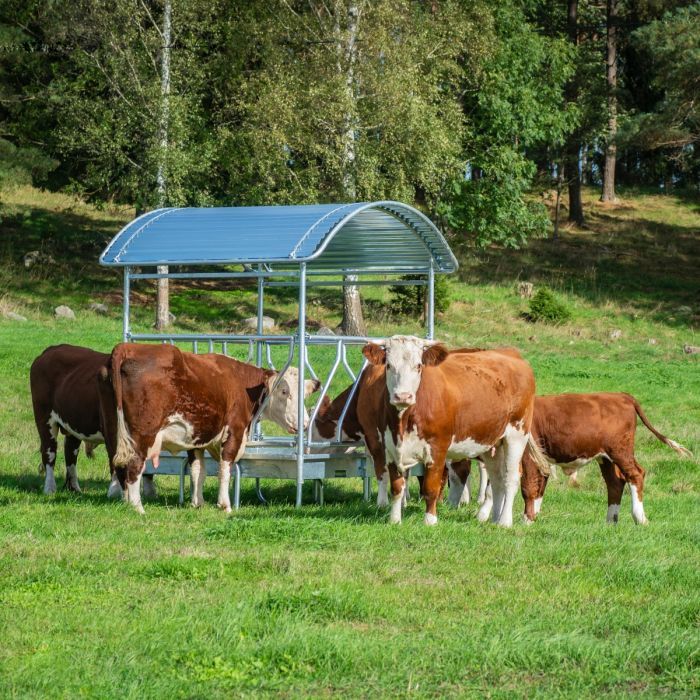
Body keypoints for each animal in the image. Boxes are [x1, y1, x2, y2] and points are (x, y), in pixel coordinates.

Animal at [99, 344, 320, 516]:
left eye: (304, 394)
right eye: (284, 391)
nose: (305, 423)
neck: (241, 384)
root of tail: (128, 347)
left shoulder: (196, 437)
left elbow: (199, 471)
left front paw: (198, 503)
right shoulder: (234, 431)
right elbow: (225, 469)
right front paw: (225, 505)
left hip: (113, 434)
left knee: (119, 467)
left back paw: (126, 503)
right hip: (143, 435)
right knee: (134, 467)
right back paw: (138, 507)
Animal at [360, 336, 552, 528]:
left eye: (418, 366)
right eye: (389, 365)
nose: (403, 396)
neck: (404, 421)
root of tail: (512, 354)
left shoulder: (438, 448)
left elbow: (431, 487)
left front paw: (430, 520)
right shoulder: (391, 448)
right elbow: (397, 487)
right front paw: (394, 520)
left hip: (516, 435)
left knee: (510, 477)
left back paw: (505, 521)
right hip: (492, 442)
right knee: (496, 479)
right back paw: (494, 519)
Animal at [516, 394, 692, 524]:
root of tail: (621, 395)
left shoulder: (528, 455)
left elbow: (528, 486)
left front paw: (526, 522)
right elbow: (539, 486)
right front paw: (533, 518)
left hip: (620, 450)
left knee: (635, 474)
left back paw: (639, 518)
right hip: (605, 457)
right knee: (615, 483)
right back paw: (611, 521)